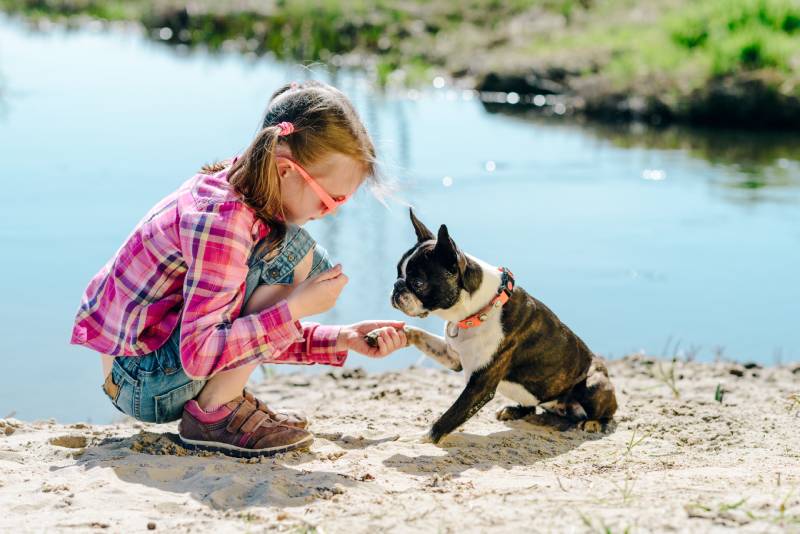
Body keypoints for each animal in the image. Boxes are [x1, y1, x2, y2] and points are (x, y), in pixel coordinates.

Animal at [390, 209, 616, 444]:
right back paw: (515, 411)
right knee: (531, 407)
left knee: (606, 412)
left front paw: (420, 438)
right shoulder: (453, 357)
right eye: (397, 273)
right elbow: (420, 334)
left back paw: (594, 422)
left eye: (418, 284)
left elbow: (449, 417)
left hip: (594, 384)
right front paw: (393, 333)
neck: (479, 310)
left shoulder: (480, 385)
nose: (397, 287)